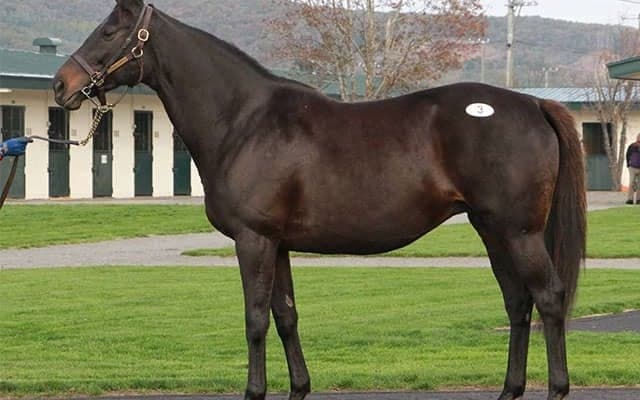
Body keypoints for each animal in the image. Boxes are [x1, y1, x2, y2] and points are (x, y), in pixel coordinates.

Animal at [52, 1, 586, 399]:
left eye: (108, 31)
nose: (61, 85)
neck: (244, 121)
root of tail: (533, 102)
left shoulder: (253, 240)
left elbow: (255, 319)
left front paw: (254, 392)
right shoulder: (278, 244)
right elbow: (286, 316)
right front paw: (299, 388)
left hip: (519, 233)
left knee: (548, 298)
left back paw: (556, 388)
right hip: (492, 230)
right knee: (518, 302)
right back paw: (509, 390)